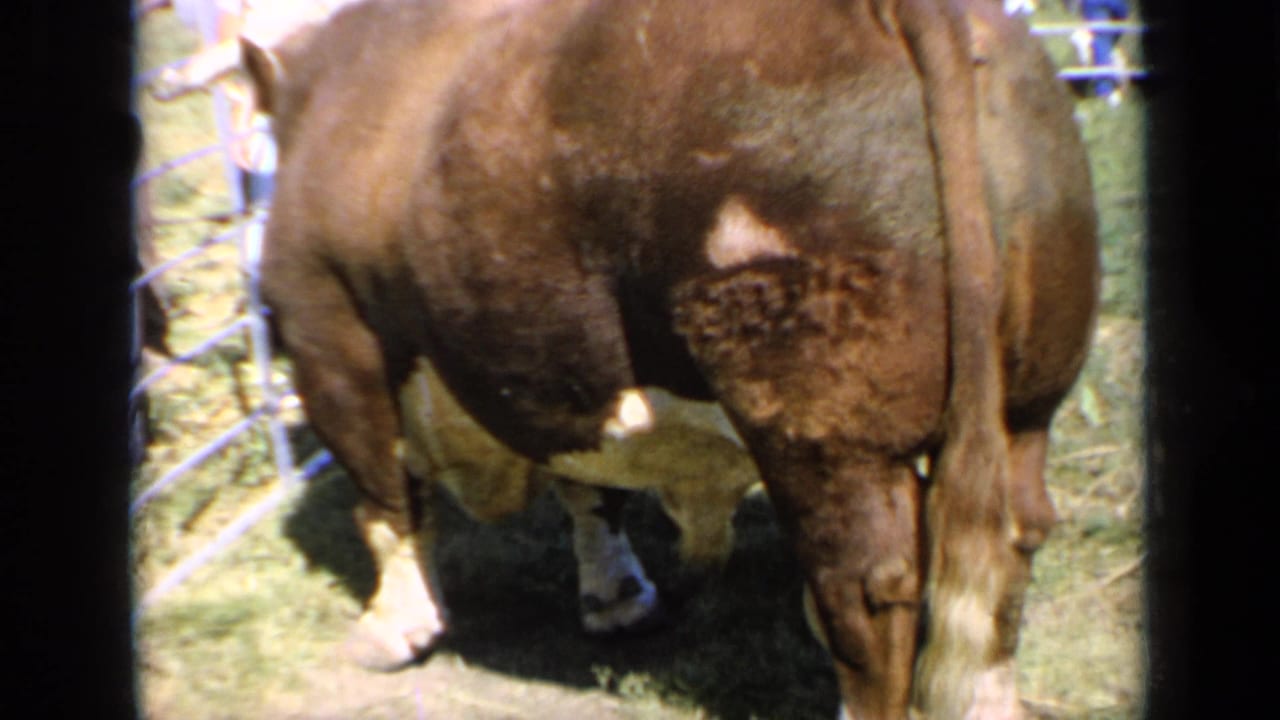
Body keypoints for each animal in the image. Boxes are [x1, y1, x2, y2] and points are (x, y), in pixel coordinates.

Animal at [244, 0, 1100, 718]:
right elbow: (590, 490)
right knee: (1005, 550)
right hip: (1025, 407)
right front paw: (617, 600)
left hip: (823, 436)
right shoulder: (559, 367)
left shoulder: (331, 338)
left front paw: (391, 629)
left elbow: (384, 500)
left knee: (865, 588)